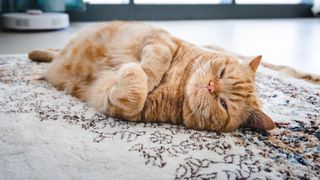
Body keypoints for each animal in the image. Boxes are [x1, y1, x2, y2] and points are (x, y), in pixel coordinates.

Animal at [28, 21, 276, 131]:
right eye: (221, 72)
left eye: (223, 104)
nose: (210, 86)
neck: (179, 83)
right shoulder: (160, 38)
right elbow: (156, 63)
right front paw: (145, 75)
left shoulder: (119, 107)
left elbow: (134, 97)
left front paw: (131, 73)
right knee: (53, 52)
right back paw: (33, 56)